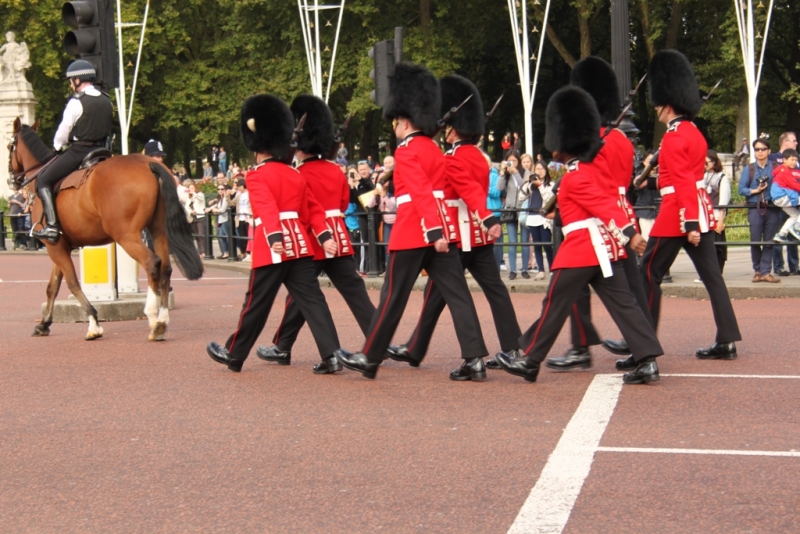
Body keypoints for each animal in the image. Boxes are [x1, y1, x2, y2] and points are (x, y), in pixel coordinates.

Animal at [9, 119, 203, 342]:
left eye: (10, 145)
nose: (11, 180)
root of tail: (148, 163)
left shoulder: (54, 246)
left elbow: (72, 282)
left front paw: (93, 324)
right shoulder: (58, 245)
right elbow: (53, 286)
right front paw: (44, 324)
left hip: (127, 236)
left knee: (152, 263)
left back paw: (153, 318)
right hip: (158, 231)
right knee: (165, 268)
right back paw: (162, 320)